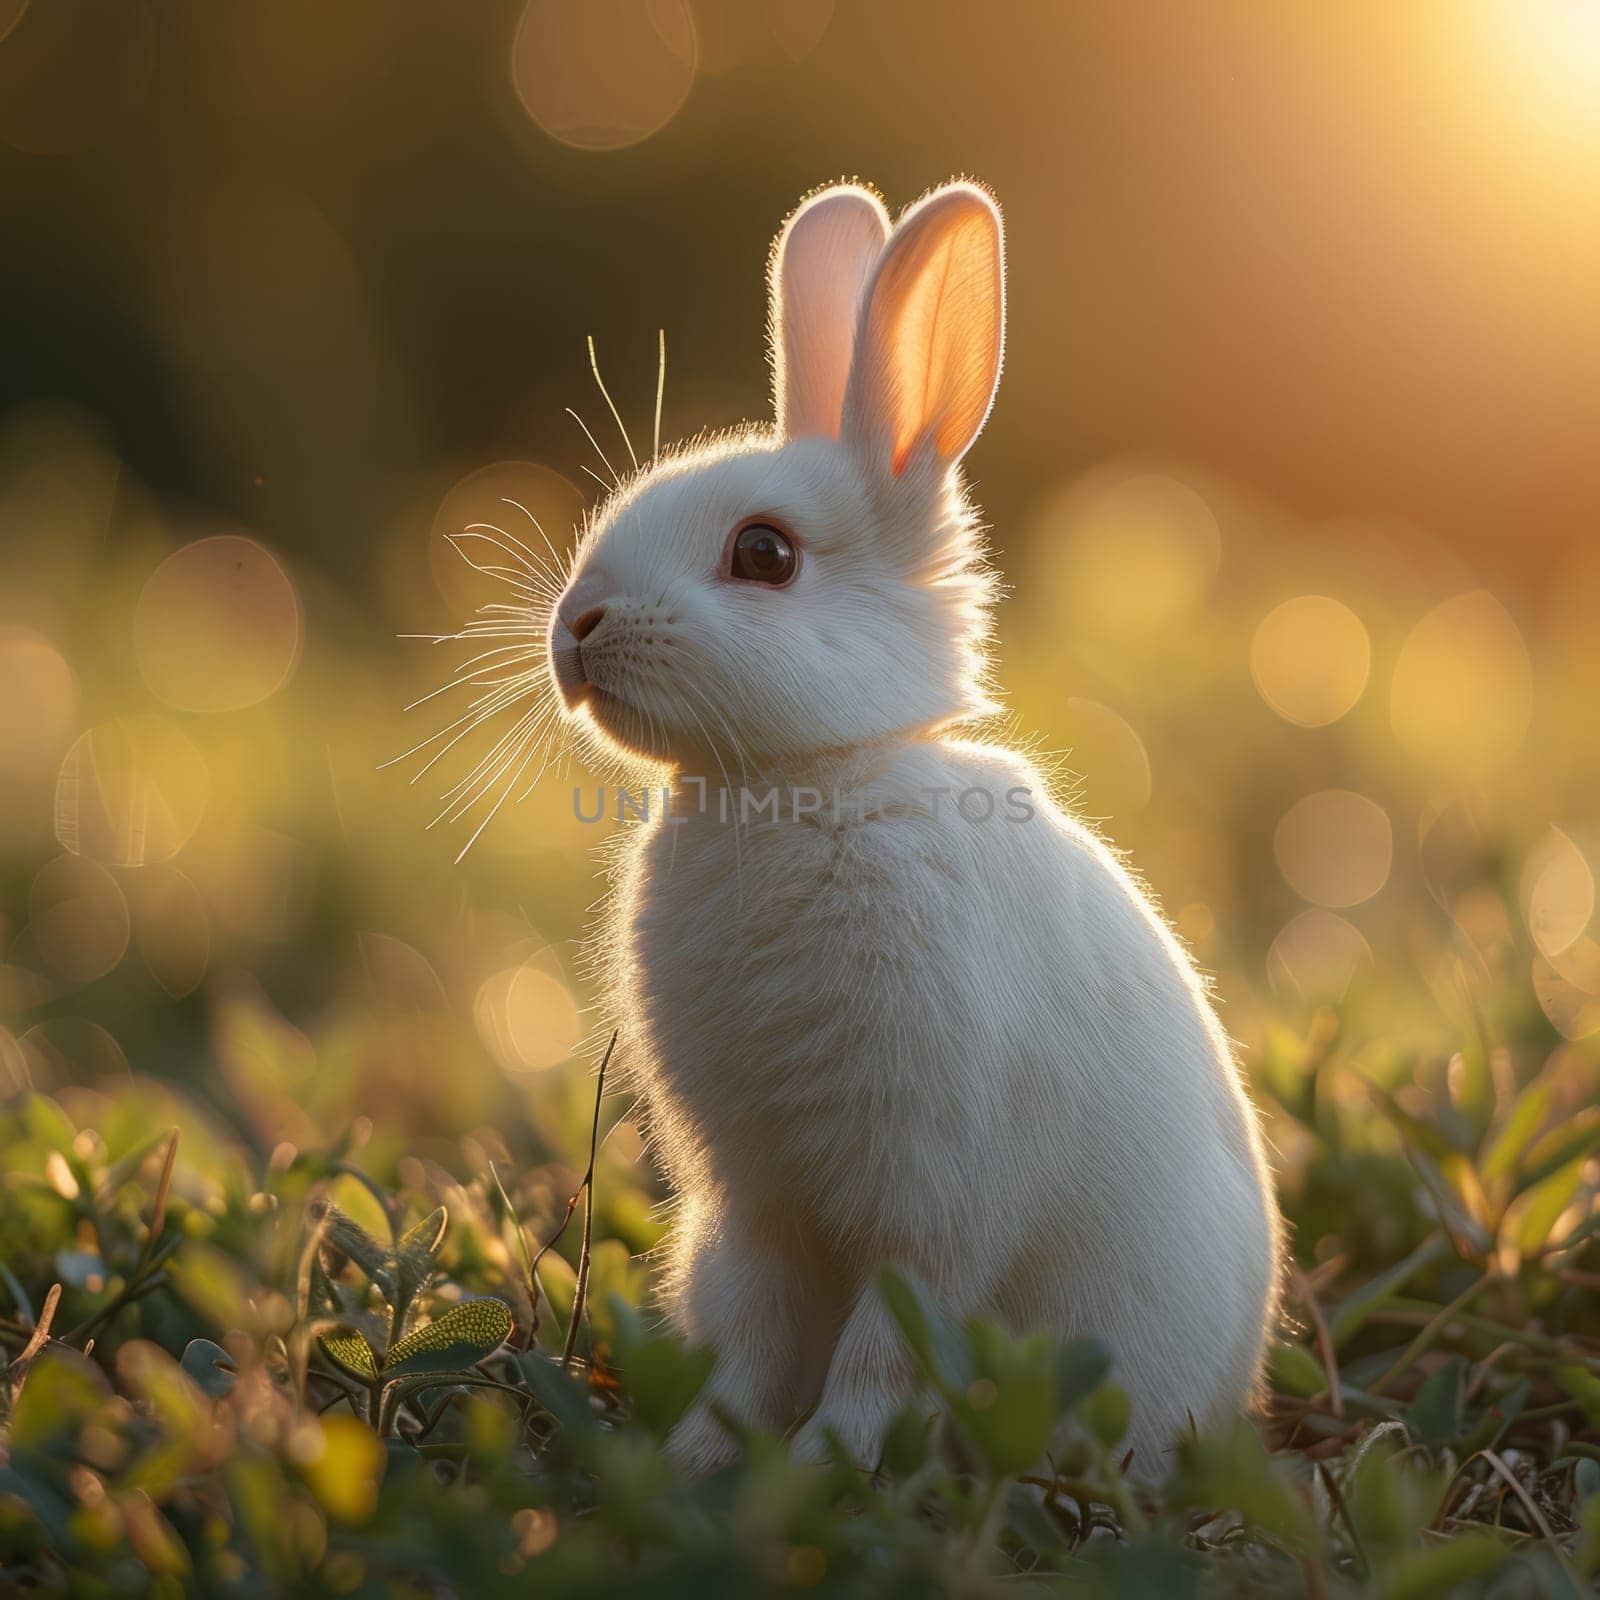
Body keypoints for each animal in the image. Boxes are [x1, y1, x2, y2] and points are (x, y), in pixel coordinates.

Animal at [540, 178, 1286, 1472]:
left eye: (764, 553)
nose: (575, 626)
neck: (803, 778)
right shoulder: (758, 1209)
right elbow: (754, 1338)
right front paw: (697, 1464)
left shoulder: (932, 1193)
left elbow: (884, 1352)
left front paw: (820, 1465)